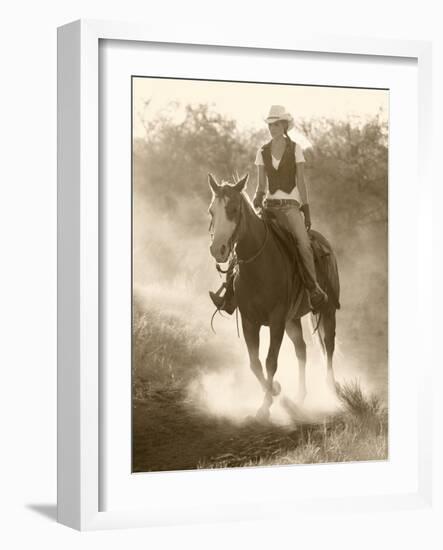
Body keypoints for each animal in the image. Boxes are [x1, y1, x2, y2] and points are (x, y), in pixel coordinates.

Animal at [208, 175, 340, 420]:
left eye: (233, 209)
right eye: (212, 211)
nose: (217, 250)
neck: (260, 265)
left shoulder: (276, 320)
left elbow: (270, 361)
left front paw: (265, 405)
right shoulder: (250, 321)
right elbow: (255, 363)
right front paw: (275, 391)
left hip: (327, 311)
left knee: (328, 345)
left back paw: (331, 389)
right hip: (292, 320)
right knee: (301, 350)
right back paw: (300, 397)